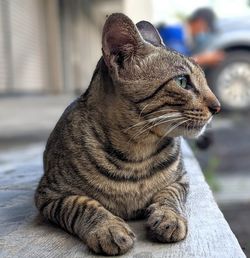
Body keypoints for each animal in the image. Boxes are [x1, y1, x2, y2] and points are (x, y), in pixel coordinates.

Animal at [34, 13, 220, 255]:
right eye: (182, 81)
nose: (218, 107)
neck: (136, 153)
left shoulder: (181, 180)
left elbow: (170, 195)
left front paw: (169, 217)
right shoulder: (50, 194)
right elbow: (81, 205)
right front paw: (108, 228)